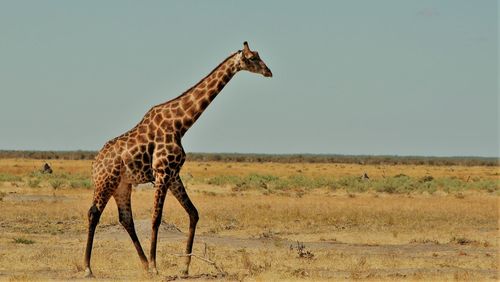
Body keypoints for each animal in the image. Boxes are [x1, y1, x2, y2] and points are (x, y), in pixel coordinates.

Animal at [84, 41, 272, 278]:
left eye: (258, 55)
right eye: (252, 58)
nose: (269, 72)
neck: (180, 124)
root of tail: (95, 164)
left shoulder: (173, 175)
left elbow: (193, 213)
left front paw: (184, 267)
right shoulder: (162, 172)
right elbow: (156, 218)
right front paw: (157, 266)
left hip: (122, 186)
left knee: (126, 219)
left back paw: (144, 265)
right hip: (106, 181)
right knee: (93, 213)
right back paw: (89, 268)